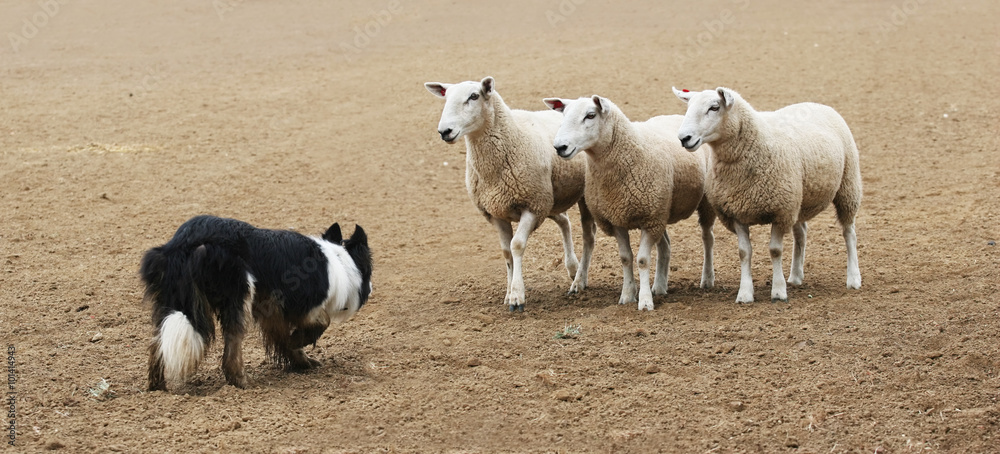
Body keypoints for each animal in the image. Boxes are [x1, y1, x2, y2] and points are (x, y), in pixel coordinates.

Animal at [424, 76, 595, 312]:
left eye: (474, 96)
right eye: (446, 97)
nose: (444, 131)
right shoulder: (497, 212)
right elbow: (506, 252)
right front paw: (508, 293)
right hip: (550, 198)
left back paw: (579, 280)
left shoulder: (531, 206)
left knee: (588, 236)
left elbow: (517, 245)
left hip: (572, 198)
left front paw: (517, 296)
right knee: (564, 221)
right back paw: (572, 267)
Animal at [543, 95, 716, 311]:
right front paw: (627, 295)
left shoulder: (649, 219)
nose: (560, 147)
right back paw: (660, 286)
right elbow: (625, 258)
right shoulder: (618, 218)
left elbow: (642, 260)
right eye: (564, 115)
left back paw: (707, 279)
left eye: (590, 115)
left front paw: (644, 301)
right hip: (661, 209)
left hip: (699, 204)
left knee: (707, 238)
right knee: (665, 246)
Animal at [672, 86, 862, 303]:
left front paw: (778, 291)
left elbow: (775, 250)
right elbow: (744, 252)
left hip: (848, 185)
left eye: (714, 107)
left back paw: (853, 278)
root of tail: (816, 104)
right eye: (688, 107)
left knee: (849, 232)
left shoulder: (780, 211)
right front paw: (745, 293)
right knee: (801, 233)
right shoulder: (737, 212)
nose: (684, 138)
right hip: (799, 199)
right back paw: (796, 276)